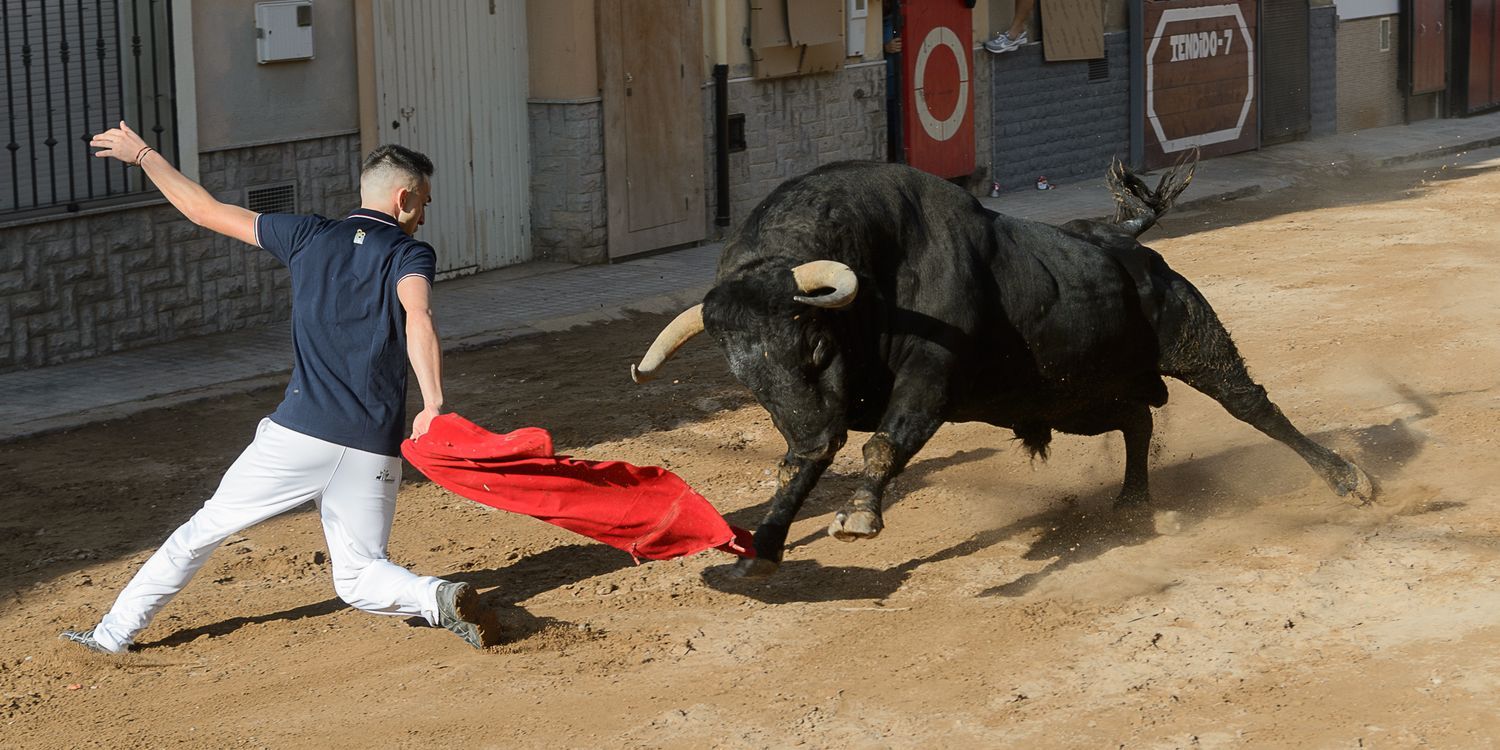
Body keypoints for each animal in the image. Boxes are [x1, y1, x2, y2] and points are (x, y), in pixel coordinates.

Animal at [630, 161, 1374, 576]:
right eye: (747, 383)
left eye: (814, 350)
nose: (812, 433)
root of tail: (1120, 239)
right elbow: (800, 467)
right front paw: (766, 546)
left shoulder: (930, 379)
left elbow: (883, 443)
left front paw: (859, 517)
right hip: (1070, 399)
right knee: (1136, 417)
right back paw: (1133, 502)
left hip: (1192, 339)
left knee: (1252, 403)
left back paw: (1348, 479)